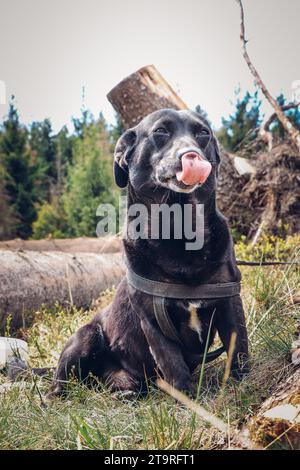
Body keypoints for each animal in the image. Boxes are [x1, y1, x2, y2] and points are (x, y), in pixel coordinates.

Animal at [48, 107, 248, 396]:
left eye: (203, 133)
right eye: (160, 131)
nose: (192, 155)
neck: (179, 231)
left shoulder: (229, 301)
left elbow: (239, 348)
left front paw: (244, 384)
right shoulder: (153, 322)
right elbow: (174, 365)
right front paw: (188, 400)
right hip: (85, 337)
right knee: (58, 386)